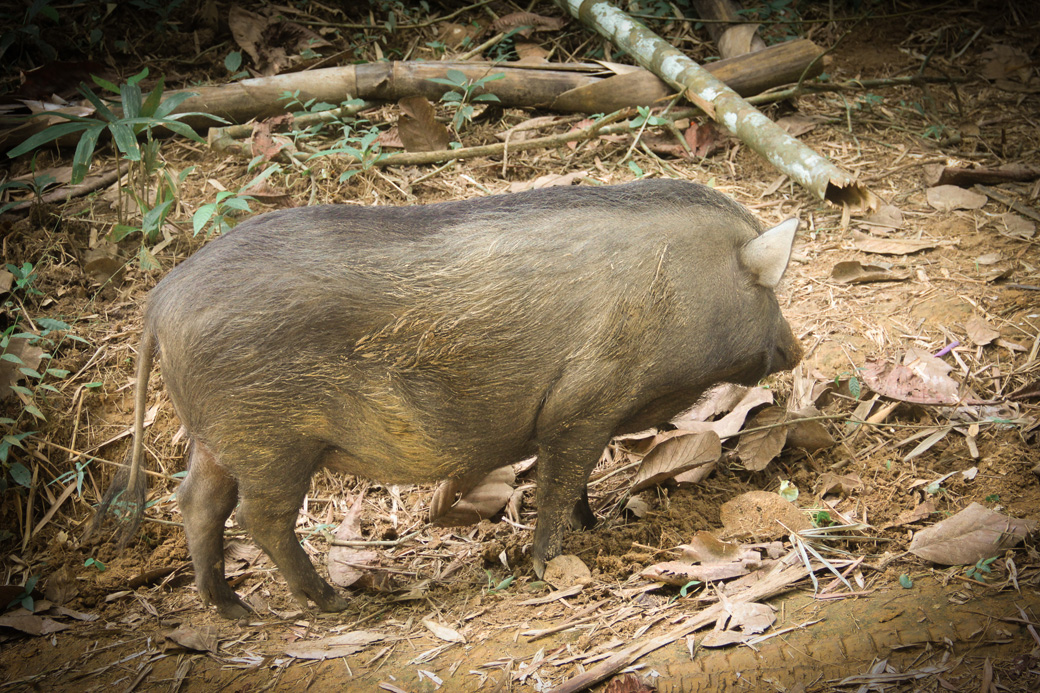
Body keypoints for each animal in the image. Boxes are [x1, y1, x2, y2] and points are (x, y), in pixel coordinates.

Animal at [101, 176, 798, 616]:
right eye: (770, 289)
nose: (795, 349)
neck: (676, 289)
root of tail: (160, 304)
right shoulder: (582, 403)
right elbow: (558, 481)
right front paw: (548, 565)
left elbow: (572, 482)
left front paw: (593, 526)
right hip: (272, 438)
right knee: (258, 518)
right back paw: (334, 603)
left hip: (220, 439)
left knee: (196, 503)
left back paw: (234, 611)